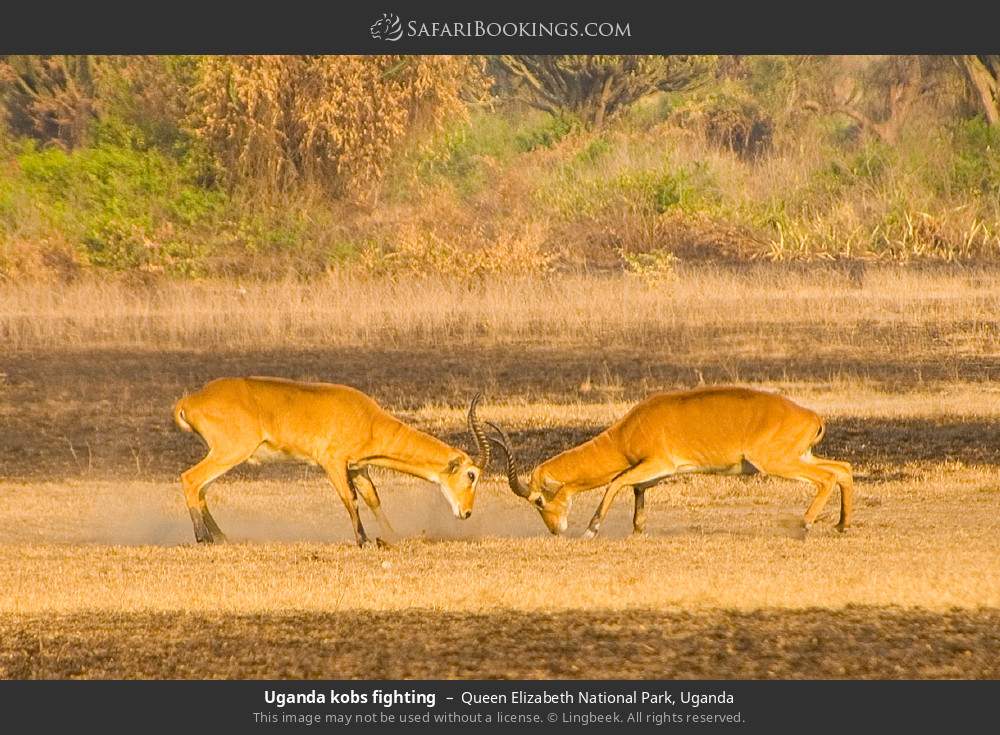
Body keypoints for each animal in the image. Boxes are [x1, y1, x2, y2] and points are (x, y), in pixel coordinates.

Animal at [173, 380, 492, 548]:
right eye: (471, 475)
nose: (466, 512)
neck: (369, 420)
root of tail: (189, 401)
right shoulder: (333, 463)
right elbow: (349, 498)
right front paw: (363, 541)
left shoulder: (359, 468)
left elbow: (373, 499)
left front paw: (391, 536)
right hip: (230, 452)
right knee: (190, 479)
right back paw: (203, 539)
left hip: (224, 455)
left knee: (202, 490)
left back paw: (222, 537)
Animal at [484, 388, 852, 536]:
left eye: (538, 499)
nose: (554, 530)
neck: (628, 432)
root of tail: (813, 416)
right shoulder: (651, 474)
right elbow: (637, 491)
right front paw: (637, 530)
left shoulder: (658, 464)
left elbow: (618, 482)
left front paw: (591, 529)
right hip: (801, 456)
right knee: (844, 470)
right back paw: (841, 525)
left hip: (776, 462)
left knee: (827, 478)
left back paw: (804, 524)